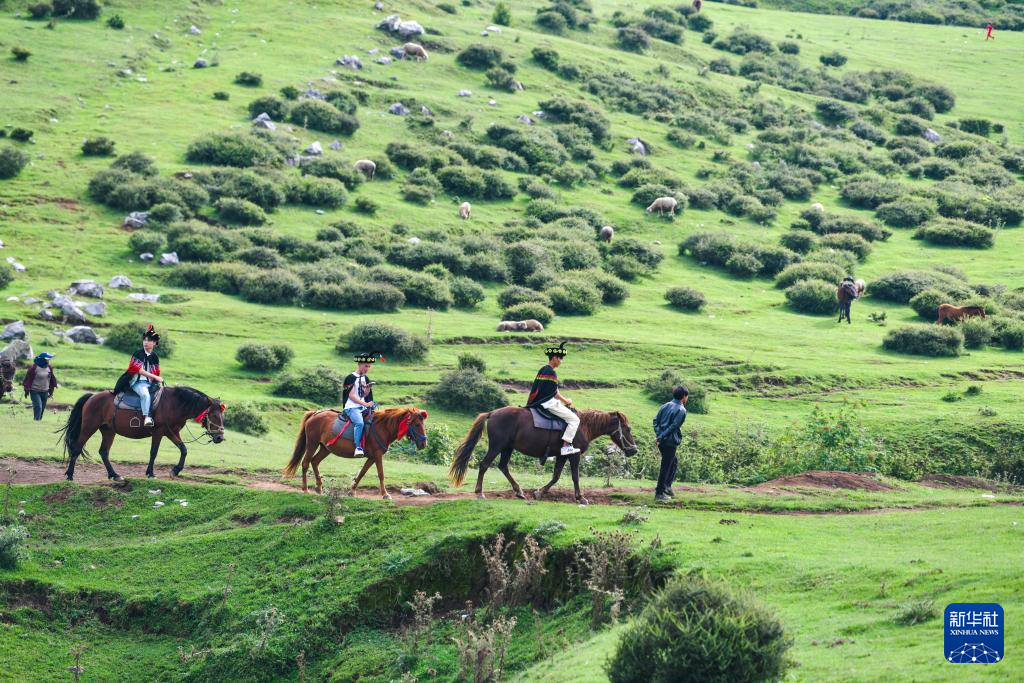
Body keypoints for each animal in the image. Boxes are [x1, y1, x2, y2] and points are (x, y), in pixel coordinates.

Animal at [58, 389, 226, 481]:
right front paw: (150, 473)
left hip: (108, 431)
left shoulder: (171, 432)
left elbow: (183, 450)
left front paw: (176, 470)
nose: (220, 438)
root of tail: (92, 397)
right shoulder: (158, 432)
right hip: (89, 428)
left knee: (104, 452)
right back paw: (70, 475)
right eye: (214, 416)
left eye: (222, 415)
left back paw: (114, 475)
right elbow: (153, 452)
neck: (174, 404)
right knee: (76, 449)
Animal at [280, 405, 428, 497]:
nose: (423, 443)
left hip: (325, 448)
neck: (382, 427)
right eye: (416, 424)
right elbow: (381, 474)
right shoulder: (377, 455)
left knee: (315, 462)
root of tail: (315, 413)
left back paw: (319, 487)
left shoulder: (372, 457)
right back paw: (305, 489)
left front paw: (352, 491)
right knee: (305, 463)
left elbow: (362, 473)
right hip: (312, 443)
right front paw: (385, 494)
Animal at [450, 405, 634, 507]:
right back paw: (480, 492)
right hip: (497, 446)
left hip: (507, 448)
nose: (634, 450)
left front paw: (539, 492)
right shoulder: (574, 455)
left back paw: (519, 491)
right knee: (484, 465)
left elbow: (556, 476)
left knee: (503, 466)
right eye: (628, 428)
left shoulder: (562, 456)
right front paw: (581, 498)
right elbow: (575, 476)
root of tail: (492, 413)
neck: (583, 426)